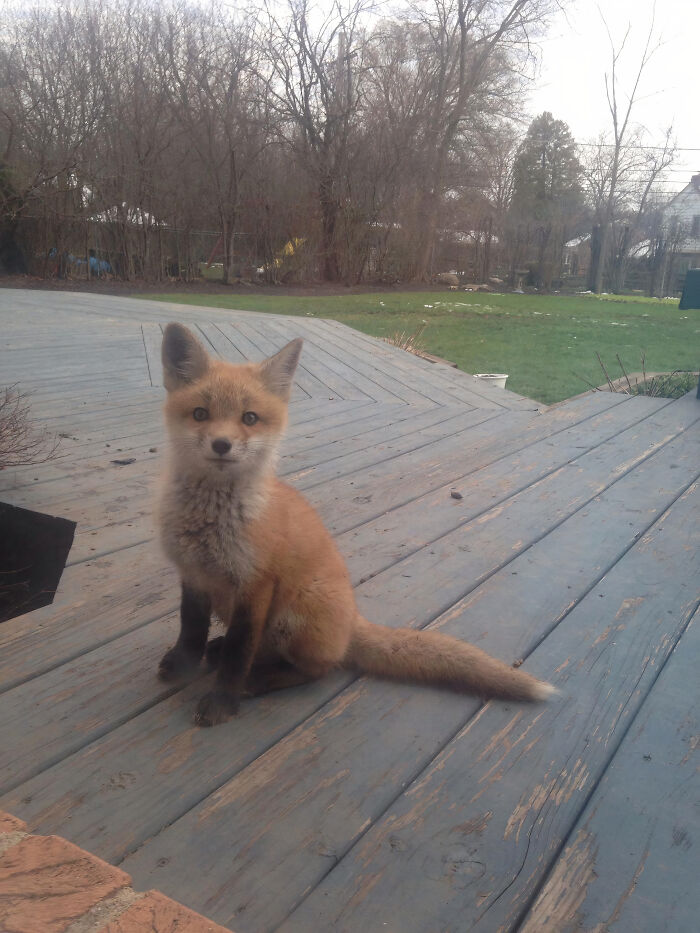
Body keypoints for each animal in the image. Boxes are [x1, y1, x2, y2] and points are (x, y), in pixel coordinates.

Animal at [156, 322, 554, 726]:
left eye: (249, 418)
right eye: (200, 413)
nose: (221, 445)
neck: (209, 522)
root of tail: (352, 622)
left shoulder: (256, 584)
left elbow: (239, 653)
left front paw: (224, 700)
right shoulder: (193, 574)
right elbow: (191, 627)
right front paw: (183, 665)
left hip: (292, 616)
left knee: (316, 669)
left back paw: (259, 679)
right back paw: (219, 651)